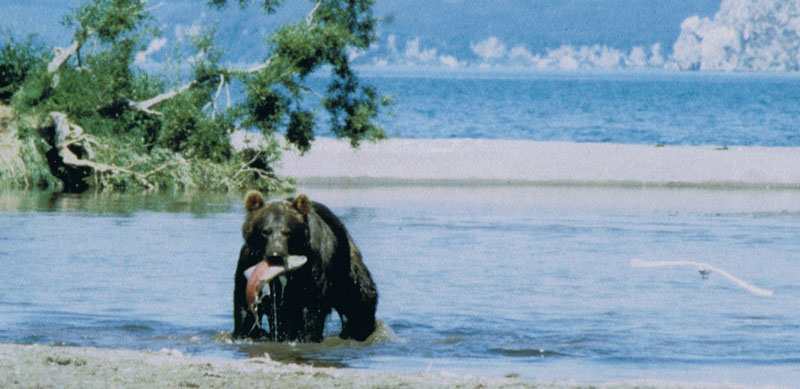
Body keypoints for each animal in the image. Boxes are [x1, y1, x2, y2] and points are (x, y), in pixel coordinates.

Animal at [233, 190, 380, 340]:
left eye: (288, 232)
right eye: (265, 231)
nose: (275, 255)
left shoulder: (313, 266)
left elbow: (311, 306)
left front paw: (306, 336)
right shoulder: (249, 262)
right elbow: (243, 303)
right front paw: (245, 333)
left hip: (345, 266)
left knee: (361, 295)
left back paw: (358, 330)